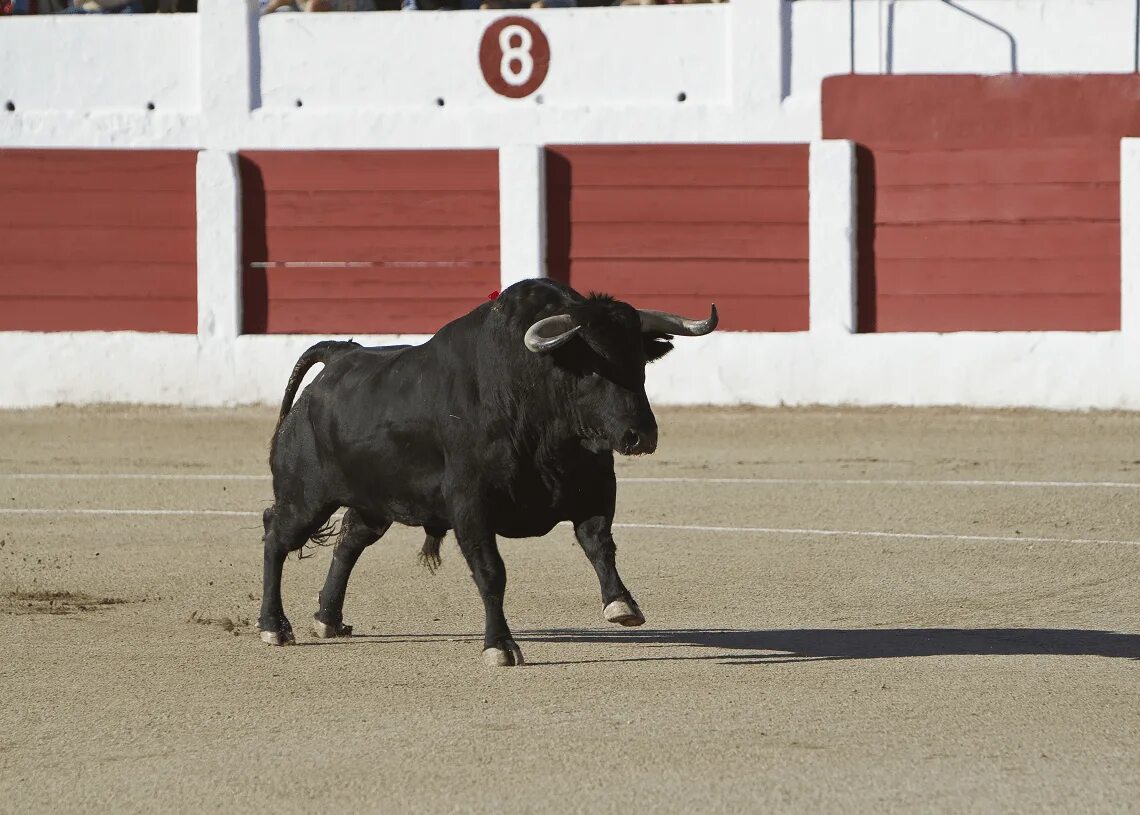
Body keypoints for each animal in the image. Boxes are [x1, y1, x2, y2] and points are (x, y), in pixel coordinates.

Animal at [262, 276, 715, 665]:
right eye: (591, 365)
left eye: (639, 361)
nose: (640, 435)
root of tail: (338, 355)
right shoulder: (471, 505)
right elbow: (491, 573)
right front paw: (500, 646)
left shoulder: (595, 487)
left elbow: (599, 544)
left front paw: (621, 603)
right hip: (306, 497)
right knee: (276, 534)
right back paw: (274, 626)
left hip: (374, 502)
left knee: (350, 540)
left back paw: (328, 619)